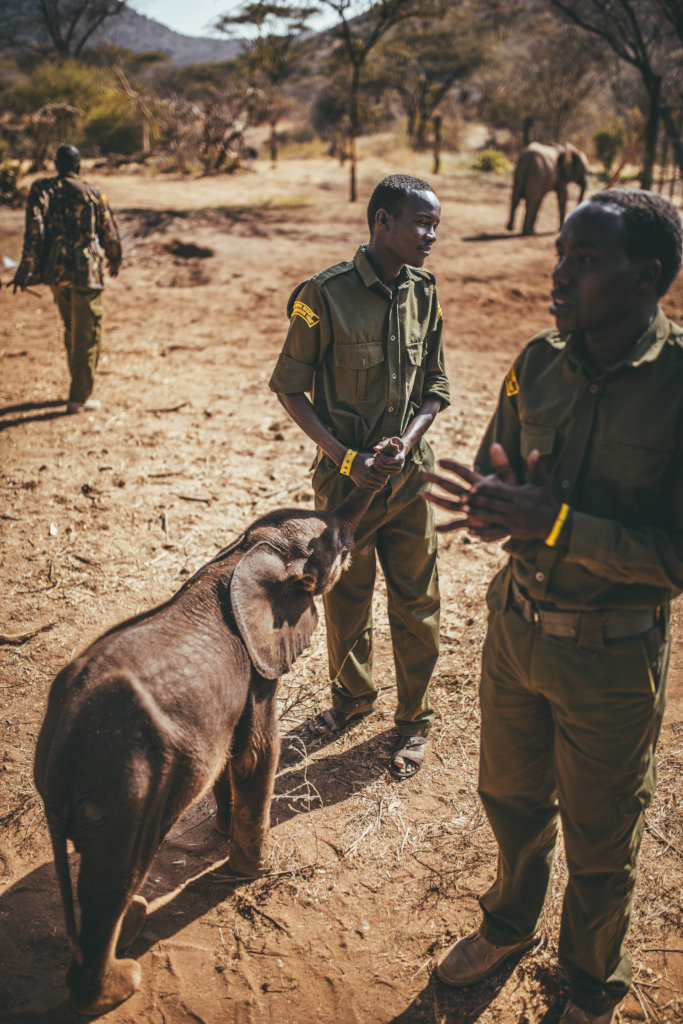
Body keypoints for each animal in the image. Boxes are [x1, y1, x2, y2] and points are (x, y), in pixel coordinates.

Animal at [33, 482, 379, 1016]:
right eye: (340, 547)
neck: (241, 555)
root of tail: (63, 738)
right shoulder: (259, 668)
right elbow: (256, 752)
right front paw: (252, 871)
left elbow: (231, 752)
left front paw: (222, 834)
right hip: (126, 786)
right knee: (113, 876)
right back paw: (121, 982)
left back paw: (132, 927)